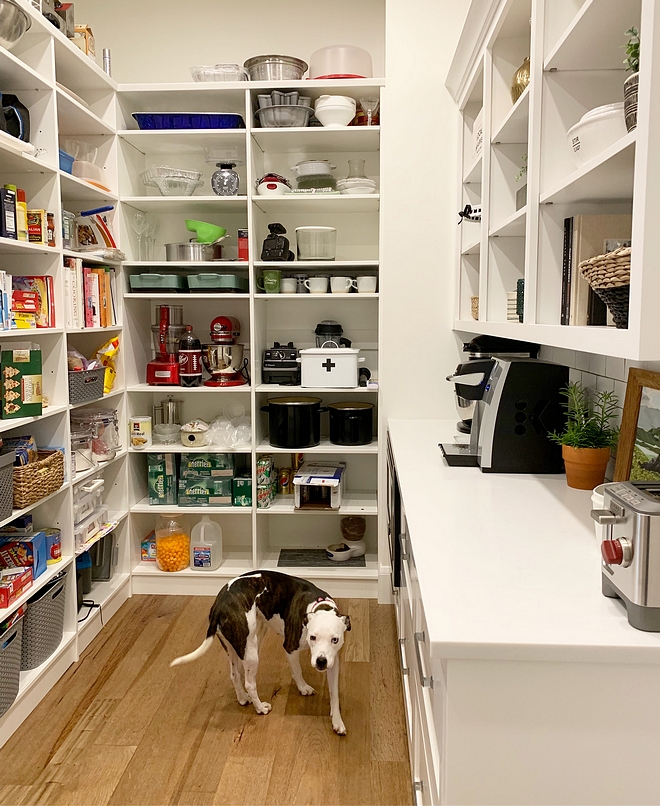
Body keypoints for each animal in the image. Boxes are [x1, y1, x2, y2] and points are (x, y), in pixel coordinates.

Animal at [173, 572, 354, 736]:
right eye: (313, 637)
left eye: (335, 640)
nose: (321, 661)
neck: (318, 607)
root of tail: (219, 604)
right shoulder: (290, 648)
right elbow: (298, 671)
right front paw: (303, 688)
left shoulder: (333, 662)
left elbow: (334, 693)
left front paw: (337, 721)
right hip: (251, 652)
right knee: (250, 683)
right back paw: (260, 708)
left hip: (238, 646)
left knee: (235, 674)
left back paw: (242, 698)